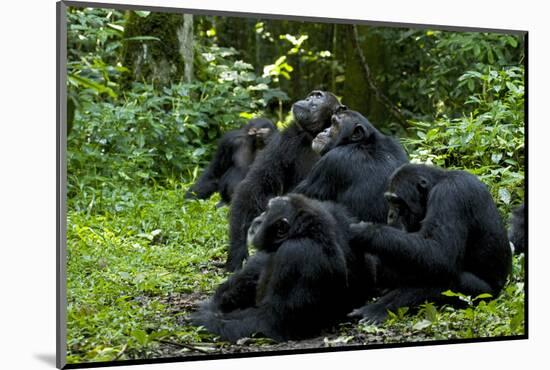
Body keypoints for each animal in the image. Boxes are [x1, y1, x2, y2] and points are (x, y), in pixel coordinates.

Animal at [192, 195, 374, 342]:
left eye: (267, 211)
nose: (258, 218)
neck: (303, 232)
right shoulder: (335, 213)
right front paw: (220, 300)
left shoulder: (297, 253)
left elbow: (271, 321)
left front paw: (203, 319)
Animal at [225, 91, 344, 270]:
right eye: (312, 95)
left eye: (319, 97)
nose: (309, 98)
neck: (316, 134)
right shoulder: (285, 139)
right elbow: (256, 184)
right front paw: (237, 251)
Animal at [352, 165, 516, 324]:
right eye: (389, 201)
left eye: (397, 201)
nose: (391, 215)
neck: (436, 184)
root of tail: (501, 289)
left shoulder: (450, 195)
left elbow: (440, 252)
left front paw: (365, 231)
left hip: (481, 295)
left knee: (444, 279)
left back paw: (379, 309)